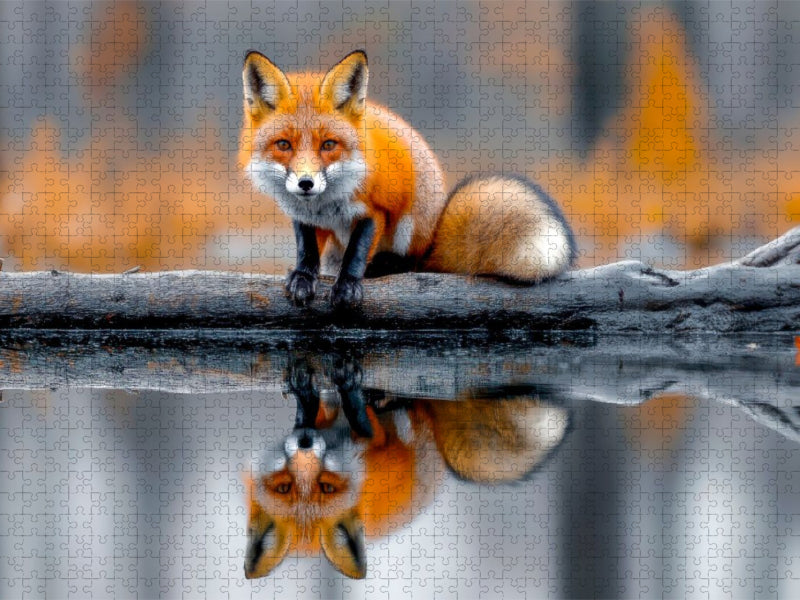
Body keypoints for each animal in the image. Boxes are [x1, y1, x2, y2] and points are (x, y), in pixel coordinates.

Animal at [240, 49, 577, 309]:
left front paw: (348, 285)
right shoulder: (303, 215)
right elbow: (307, 250)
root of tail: (433, 236)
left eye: (328, 145)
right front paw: (303, 277)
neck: (323, 205)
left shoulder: (375, 209)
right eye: (284, 145)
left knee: (414, 264)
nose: (306, 183)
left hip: (411, 222)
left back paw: (385, 266)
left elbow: (356, 253)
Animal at [243, 355, 571, 579]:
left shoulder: (370, 440)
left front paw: (330, 386)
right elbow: (332, 413)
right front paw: (319, 389)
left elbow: (347, 415)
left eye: (325, 487)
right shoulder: (358, 433)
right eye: (285, 487)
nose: (305, 443)